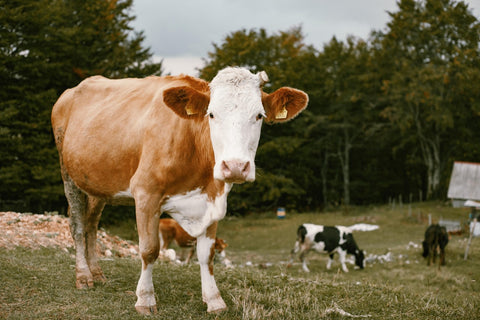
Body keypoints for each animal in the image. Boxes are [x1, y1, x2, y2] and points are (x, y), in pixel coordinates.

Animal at [51, 67, 308, 316]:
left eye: (259, 116)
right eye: (211, 114)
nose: (235, 166)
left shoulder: (212, 198)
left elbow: (206, 254)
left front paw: (214, 300)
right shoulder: (146, 192)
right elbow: (149, 249)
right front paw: (145, 299)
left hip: (98, 184)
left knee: (91, 225)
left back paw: (97, 273)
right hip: (68, 174)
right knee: (77, 226)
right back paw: (84, 277)